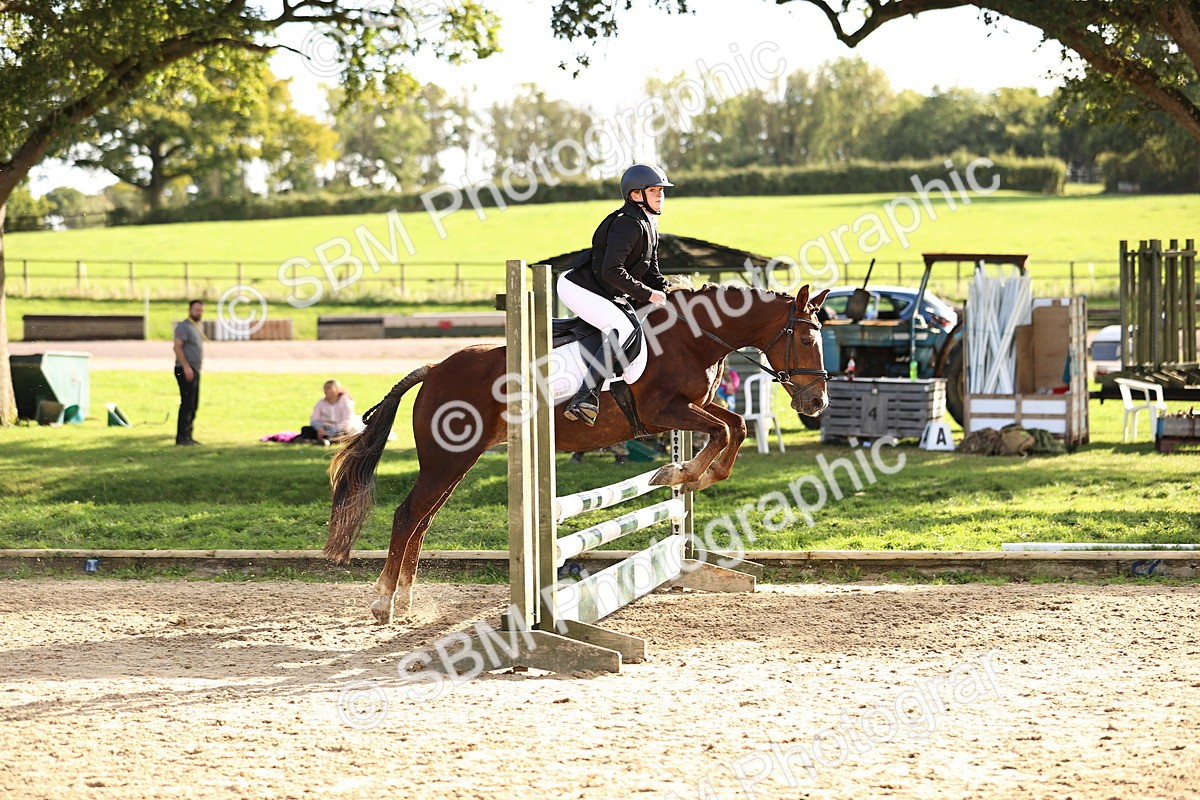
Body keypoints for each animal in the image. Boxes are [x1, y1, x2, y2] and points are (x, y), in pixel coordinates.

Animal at [325, 283, 831, 623]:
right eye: (807, 339)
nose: (816, 403)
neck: (694, 337)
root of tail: (434, 369)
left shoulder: (693, 408)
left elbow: (735, 426)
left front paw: (684, 473)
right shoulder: (663, 412)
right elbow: (726, 430)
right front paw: (679, 474)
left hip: (458, 460)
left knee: (422, 519)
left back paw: (407, 599)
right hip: (446, 459)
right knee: (408, 514)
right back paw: (384, 602)